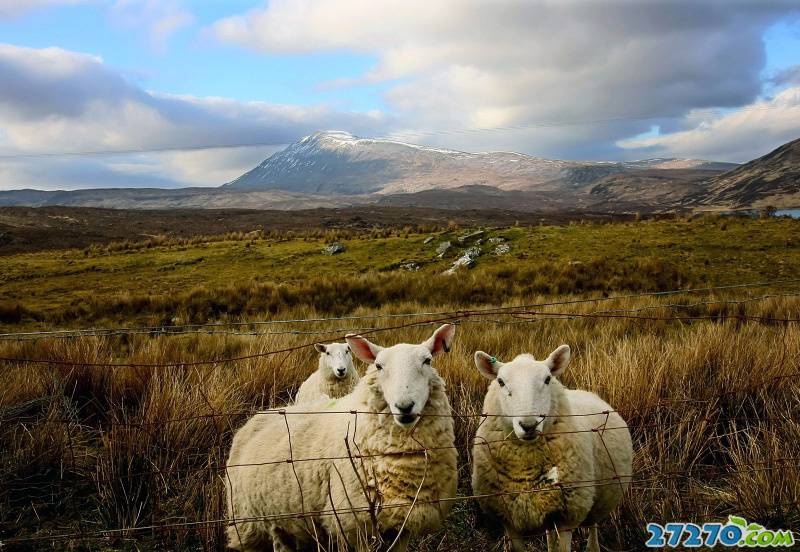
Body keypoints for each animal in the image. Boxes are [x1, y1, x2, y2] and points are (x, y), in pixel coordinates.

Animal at [225, 324, 460, 552]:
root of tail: (258, 417)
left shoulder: (401, 524)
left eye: (427, 360)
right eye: (379, 366)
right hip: (247, 523)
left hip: (284, 524)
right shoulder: (354, 524)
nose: (404, 406)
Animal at [468, 344, 632, 552]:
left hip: (597, 501)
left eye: (547, 379)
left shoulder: (567, 516)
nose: (529, 425)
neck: (526, 469)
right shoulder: (508, 520)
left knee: (592, 526)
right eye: (501, 382)